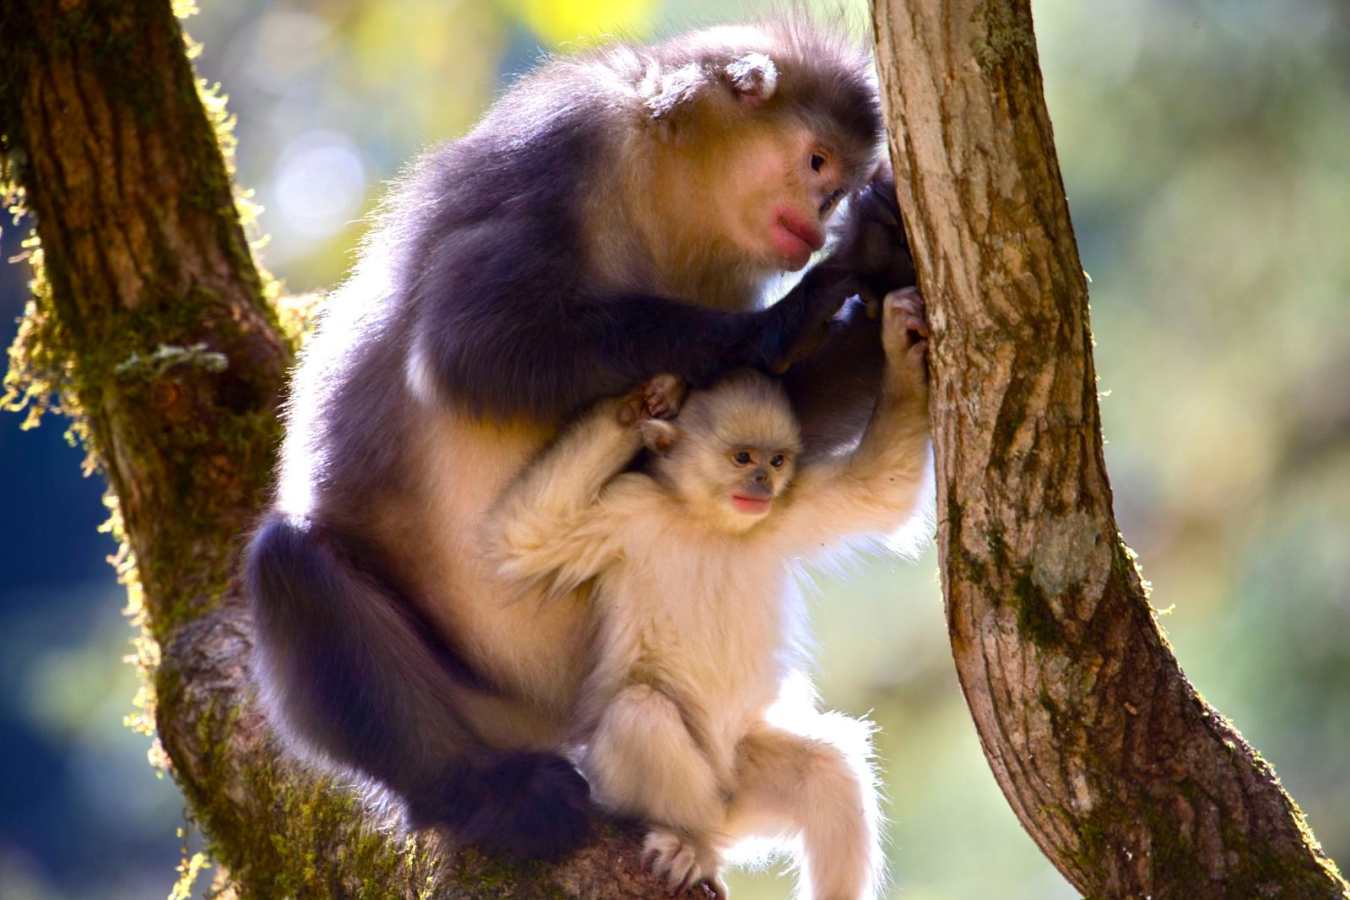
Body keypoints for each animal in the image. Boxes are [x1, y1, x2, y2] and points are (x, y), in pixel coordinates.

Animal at [485, 289, 931, 899]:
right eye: (742, 458)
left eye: (776, 461)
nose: (762, 484)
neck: (706, 521)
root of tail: (723, 822)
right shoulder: (627, 508)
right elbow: (527, 534)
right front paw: (645, 399)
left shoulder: (790, 506)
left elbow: (882, 487)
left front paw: (902, 347)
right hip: (655, 790)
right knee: (641, 712)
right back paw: (688, 843)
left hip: (743, 786)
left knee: (829, 773)